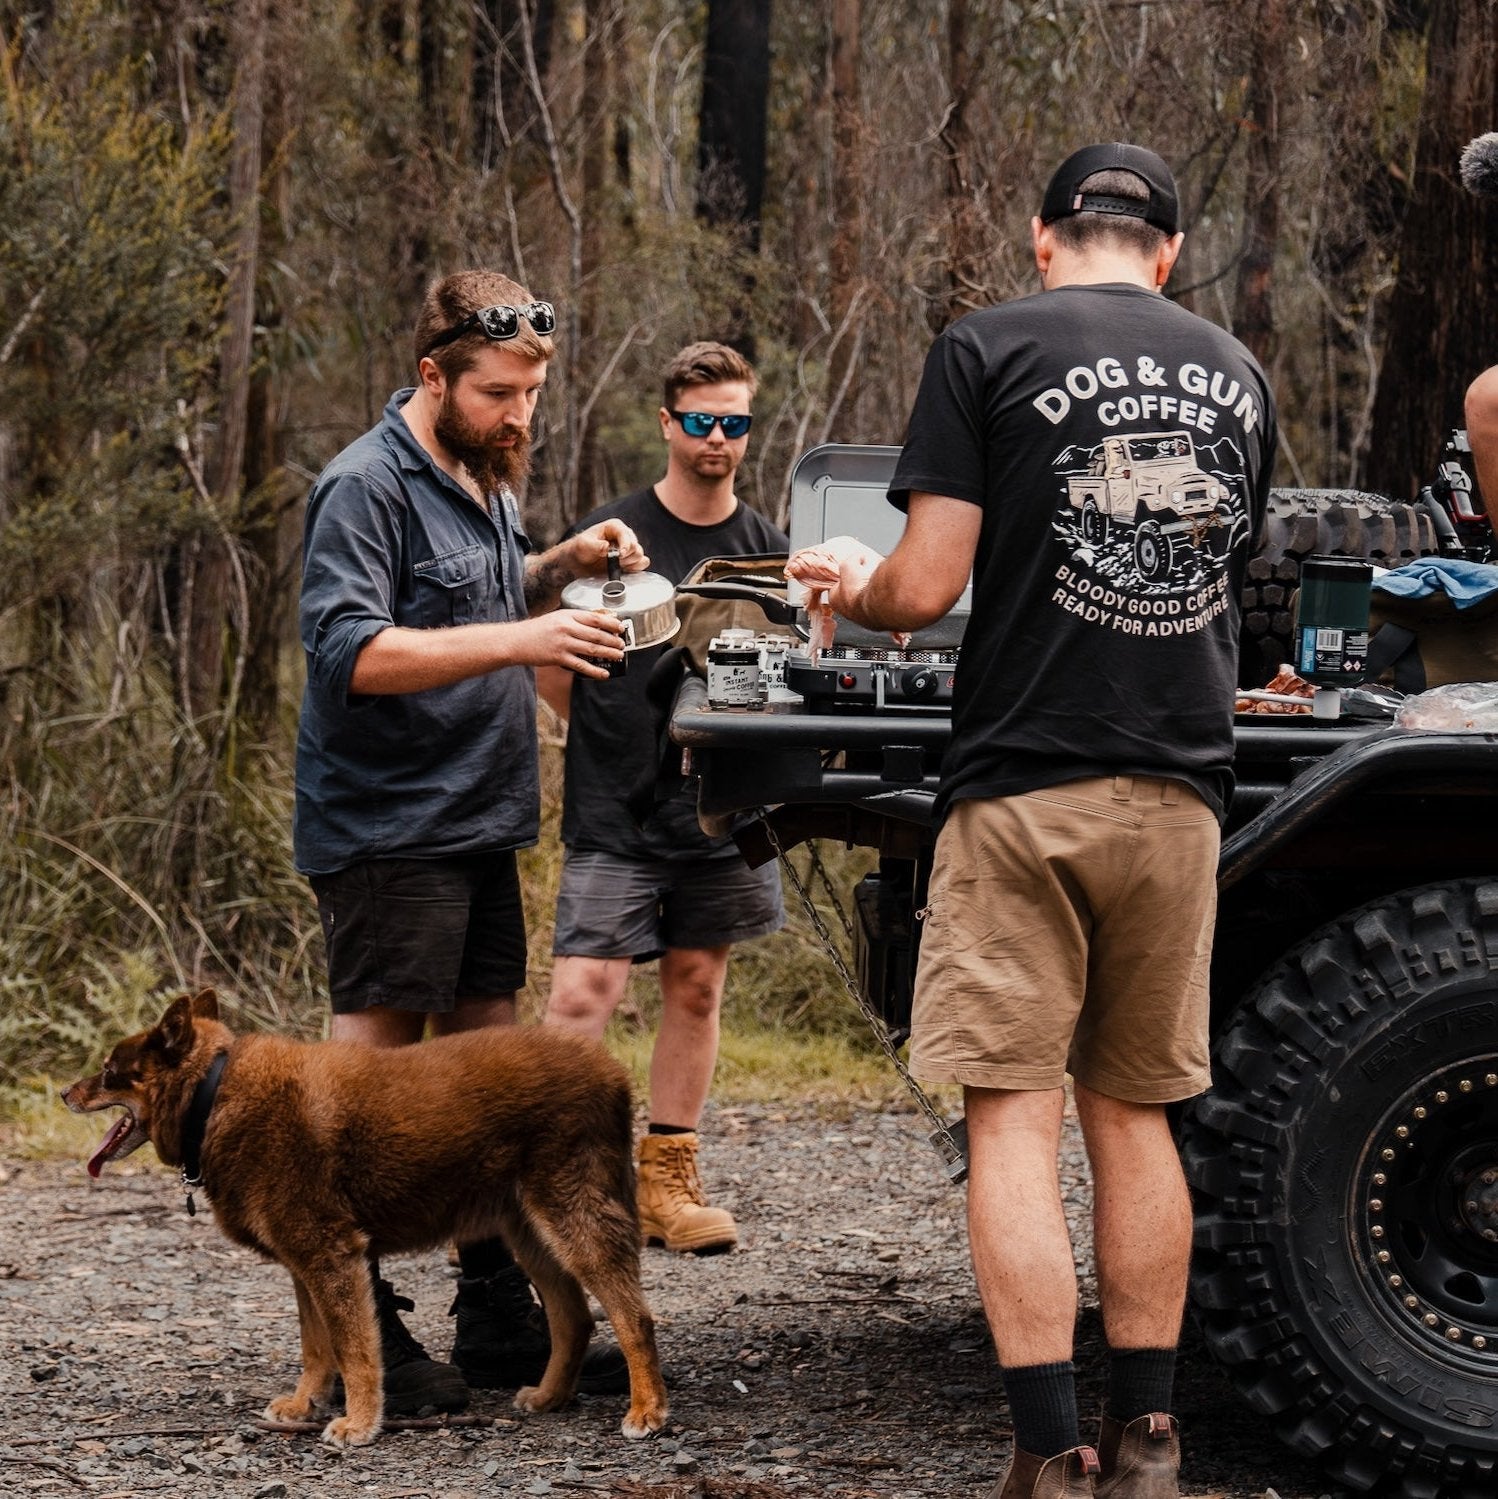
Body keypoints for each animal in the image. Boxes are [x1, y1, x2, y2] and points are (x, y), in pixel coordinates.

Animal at [65, 989, 668, 1445]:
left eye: (109, 1072)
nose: (67, 1092)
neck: (212, 1096)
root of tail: (612, 1073)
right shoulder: (304, 1266)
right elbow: (317, 1349)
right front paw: (305, 1405)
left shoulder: (330, 1257)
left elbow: (353, 1351)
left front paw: (358, 1422)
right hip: (531, 1233)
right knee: (575, 1318)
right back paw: (550, 1395)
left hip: (573, 1220)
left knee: (633, 1316)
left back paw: (647, 1410)